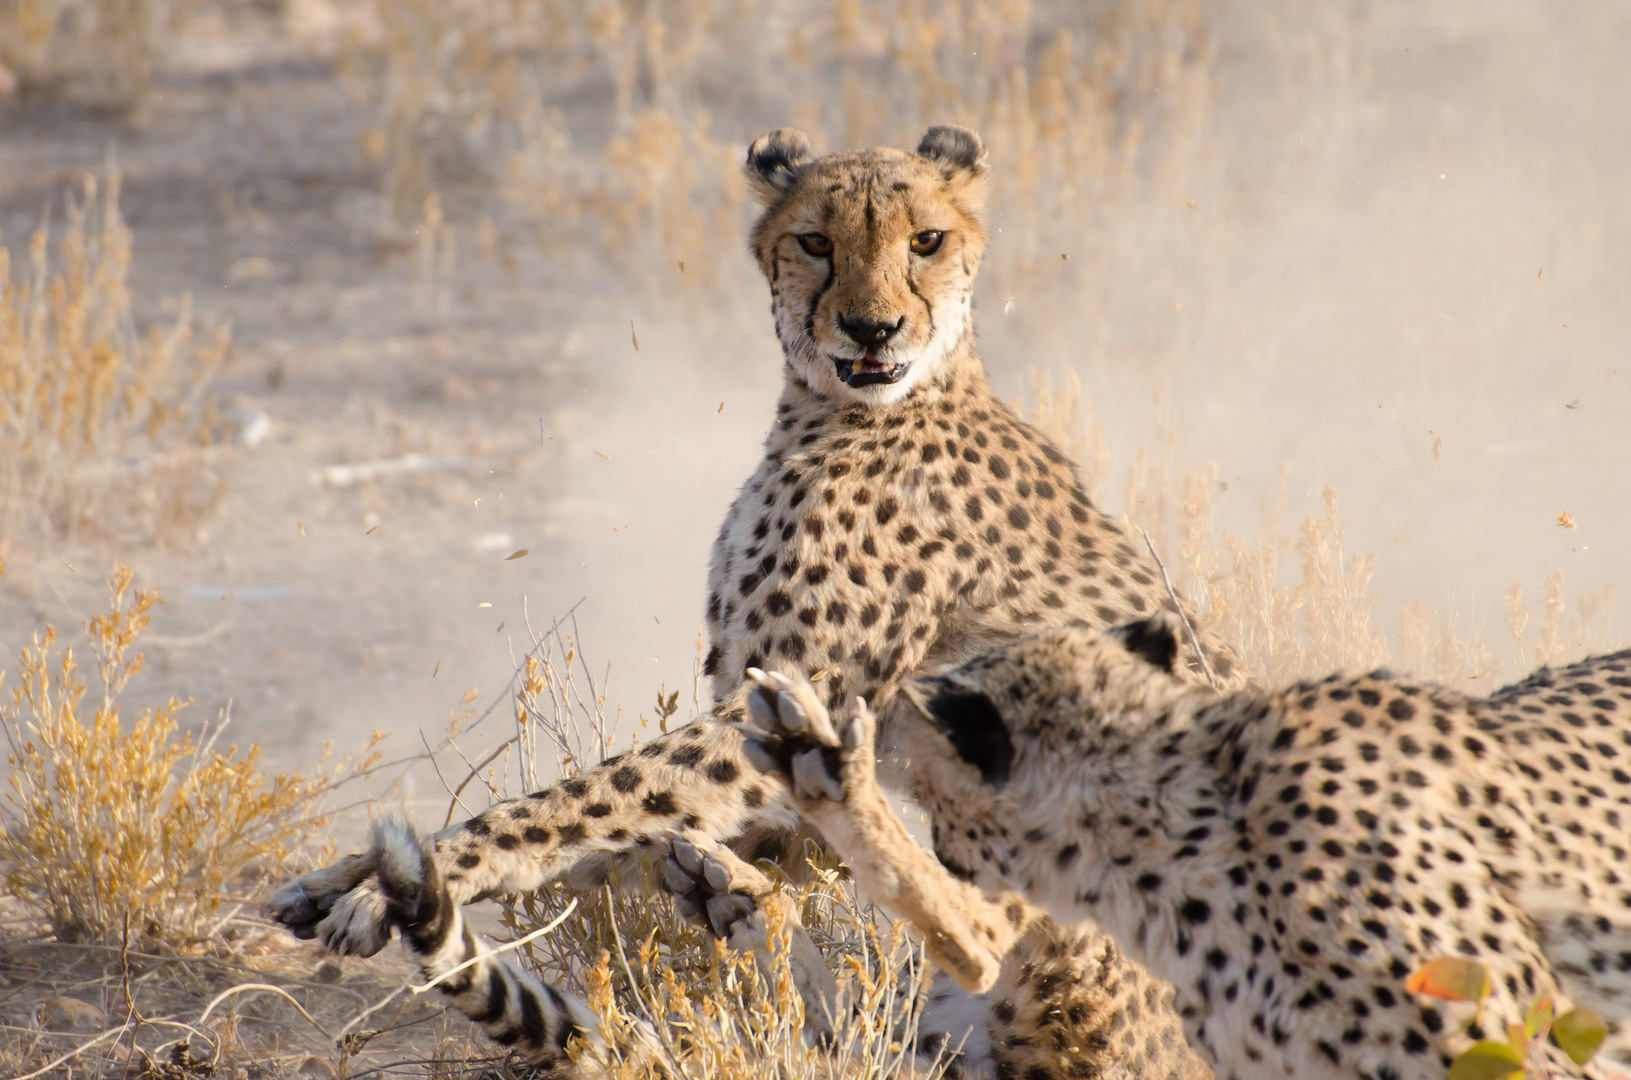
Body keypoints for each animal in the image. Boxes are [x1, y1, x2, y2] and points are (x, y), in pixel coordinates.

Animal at [267, 124, 1239, 1076]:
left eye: (926, 242)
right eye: (815, 242)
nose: (872, 327)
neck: (855, 404)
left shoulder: (802, 694)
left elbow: (593, 793)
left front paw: (417, 875)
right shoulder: (778, 713)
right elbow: (646, 817)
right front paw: (345, 876)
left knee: (972, 947)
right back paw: (732, 901)